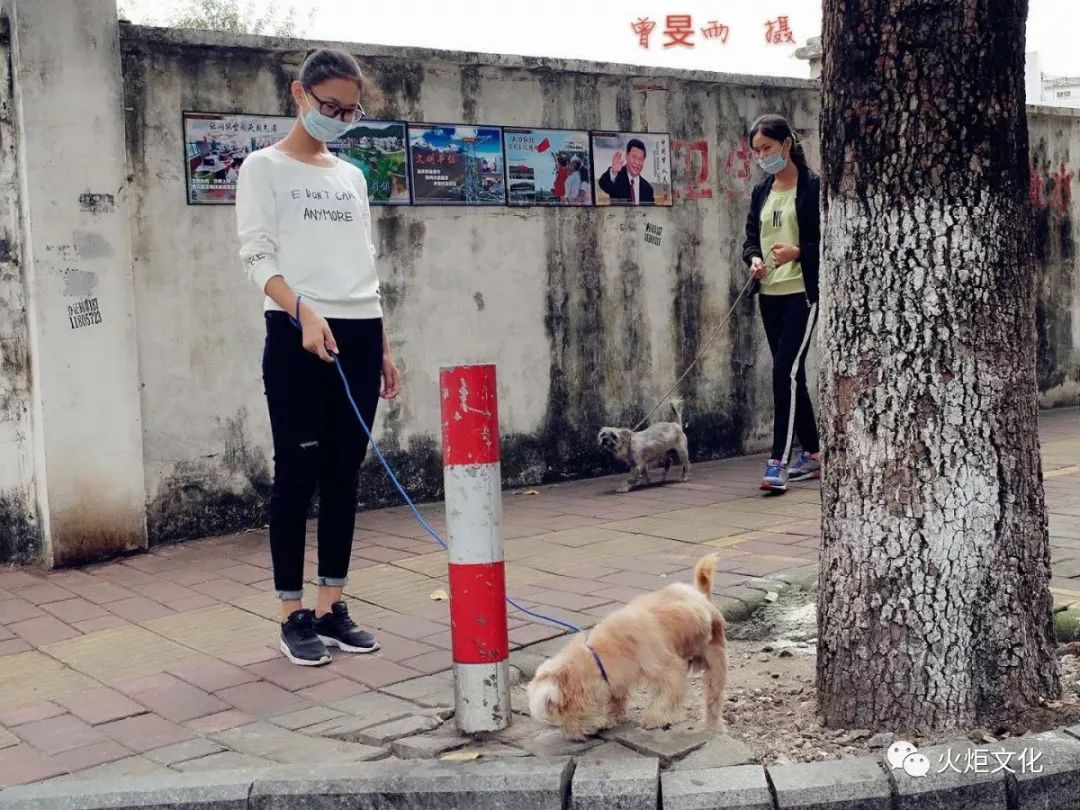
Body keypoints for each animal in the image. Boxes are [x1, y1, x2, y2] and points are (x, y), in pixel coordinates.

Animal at [527, 557, 730, 743]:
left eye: (566, 714)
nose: (572, 737)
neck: (604, 654)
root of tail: (701, 596)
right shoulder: (616, 678)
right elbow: (617, 698)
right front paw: (613, 716)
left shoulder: (669, 670)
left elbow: (664, 697)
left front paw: (654, 719)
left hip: (715, 661)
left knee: (713, 697)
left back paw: (713, 724)